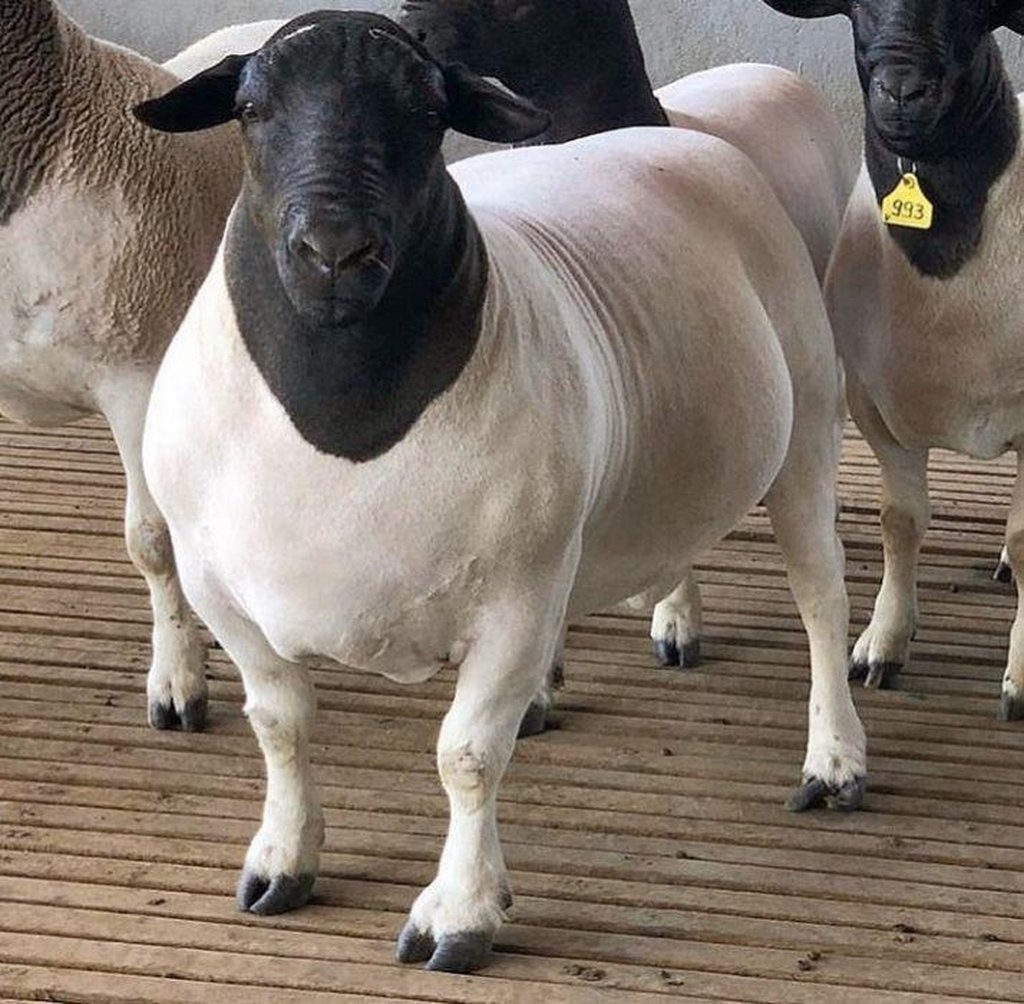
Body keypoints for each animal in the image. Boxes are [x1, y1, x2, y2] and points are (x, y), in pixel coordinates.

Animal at [133, 12, 865, 973]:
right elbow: (280, 724)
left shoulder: (516, 597)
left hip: (808, 421)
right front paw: (282, 863)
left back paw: (836, 761)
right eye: (251, 111)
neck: (342, 415)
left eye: (430, 113)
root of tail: (674, 137)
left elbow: (468, 757)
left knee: (821, 595)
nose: (335, 251)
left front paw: (460, 914)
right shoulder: (224, 593)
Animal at [756, 0, 1024, 717]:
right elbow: (899, 522)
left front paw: (1020, 677)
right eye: (857, 7)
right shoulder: (876, 408)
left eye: (975, 11)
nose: (903, 86)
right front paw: (883, 642)